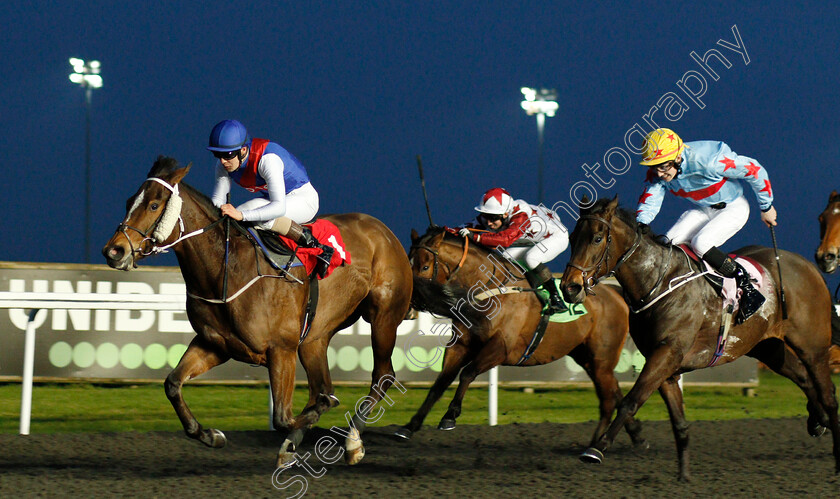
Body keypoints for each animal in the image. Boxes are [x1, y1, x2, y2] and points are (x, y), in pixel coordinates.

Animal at [101, 157, 414, 468]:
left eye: (154, 205)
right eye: (129, 201)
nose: (113, 251)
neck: (228, 269)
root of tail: (383, 230)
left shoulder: (281, 350)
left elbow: (284, 417)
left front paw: (316, 425)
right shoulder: (216, 345)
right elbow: (172, 384)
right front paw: (211, 435)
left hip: (383, 318)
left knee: (382, 376)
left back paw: (352, 442)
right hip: (315, 337)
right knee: (321, 385)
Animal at [398, 227, 648, 450]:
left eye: (425, 266)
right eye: (408, 264)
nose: (408, 305)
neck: (489, 288)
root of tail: (615, 293)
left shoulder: (501, 348)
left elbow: (468, 373)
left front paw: (450, 415)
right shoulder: (459, 345)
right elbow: (439, 384)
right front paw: (410, 426)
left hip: (601, 358)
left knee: (609, 397)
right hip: (587, 358)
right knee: (614, 391)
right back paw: (635, 435)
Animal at [556, 197, 840, 482]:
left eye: (597, 238)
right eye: (571, 237)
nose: (570, 287)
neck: (659, 282)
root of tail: (809, 266)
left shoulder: (667, 353)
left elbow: (630, 401)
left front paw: (596, 448)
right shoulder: (664, 364)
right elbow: (679, 422)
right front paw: (684, 476)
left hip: (813, 347)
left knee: (828, 394)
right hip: (767, 347)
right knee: (803, 378)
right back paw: (817, 421)